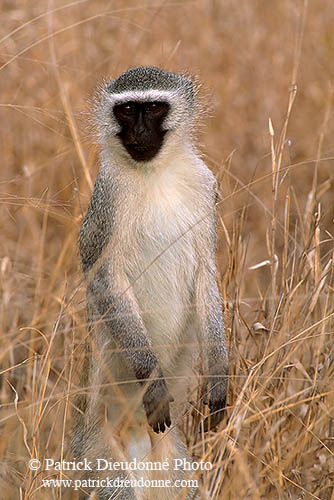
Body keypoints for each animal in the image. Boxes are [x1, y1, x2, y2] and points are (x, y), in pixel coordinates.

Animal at [73, 66, 228, 500]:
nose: (139, 132)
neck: (154, 173)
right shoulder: (108, 194)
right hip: (99, 457)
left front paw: (218, 379)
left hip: (170, 459)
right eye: (127, 110)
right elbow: (104, 278)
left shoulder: (203, 185)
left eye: (154, 107)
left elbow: (206, 274)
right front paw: (155, 384)